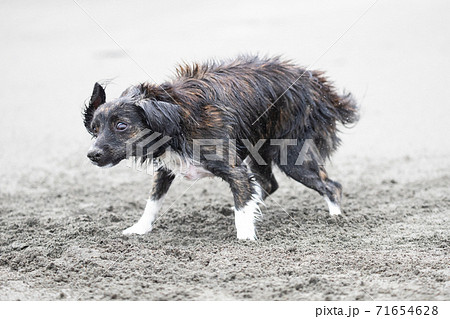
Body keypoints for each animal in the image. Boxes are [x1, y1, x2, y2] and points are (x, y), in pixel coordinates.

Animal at [83, 55, 358, 240]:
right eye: (94, 129)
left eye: (121, 125)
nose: (92, 155)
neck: (175, 118)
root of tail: (317, 85)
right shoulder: (166, 168)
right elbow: (153, 201)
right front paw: (139, 228)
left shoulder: (233, 168)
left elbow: (241, 199)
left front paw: (245, 239)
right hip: (259, 152)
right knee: (268, 184)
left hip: (292, 157)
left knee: (331, 186)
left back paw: (335, 219)